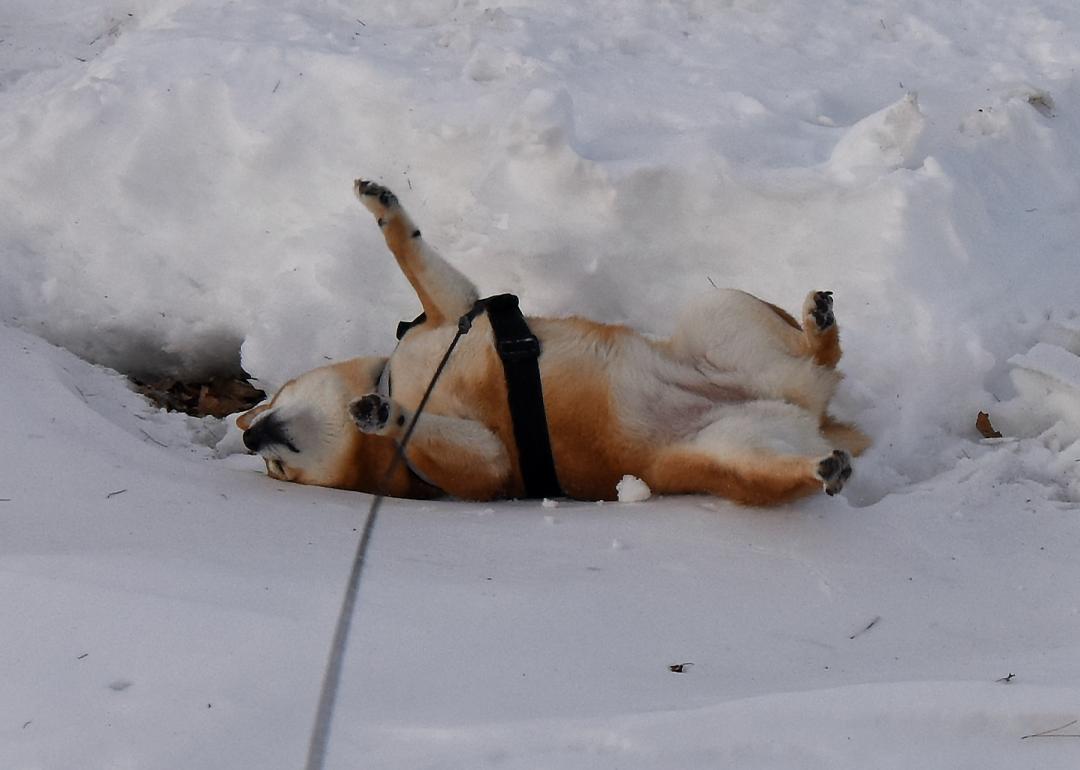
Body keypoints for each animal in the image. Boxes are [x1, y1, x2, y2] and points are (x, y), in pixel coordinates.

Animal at [236, 179, 868, 505]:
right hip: (722, 448)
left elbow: (409, 253)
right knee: (790, 439)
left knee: (816, 360)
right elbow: (443, 442)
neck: (399, 377)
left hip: (718, 316)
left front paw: (381, 205)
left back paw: (817, 322)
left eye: (275, 399)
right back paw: (821, 465)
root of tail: (812, 414)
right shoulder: (487, 468)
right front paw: (380, 414)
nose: (251, 438)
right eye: (280, 473)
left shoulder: (458, 314)